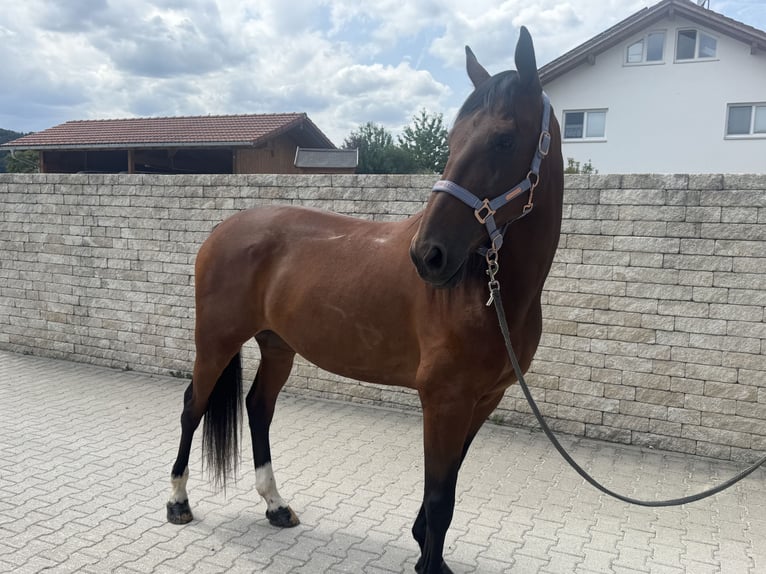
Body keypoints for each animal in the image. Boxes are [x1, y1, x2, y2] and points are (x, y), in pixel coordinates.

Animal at [166, 26, 563, 574]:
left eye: (503, 139)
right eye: (453, 140)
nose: (428, 255)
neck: (490, 293)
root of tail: (222, 230)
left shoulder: (484, 401)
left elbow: (449, 484)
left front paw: (426, 548)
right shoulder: (444, 400)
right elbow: (440, 495)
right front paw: (428, 562)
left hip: (277, 346)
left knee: (258, 408)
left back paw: (276, 505)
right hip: (216, 342)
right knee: (193, 406)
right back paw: (179, 501)